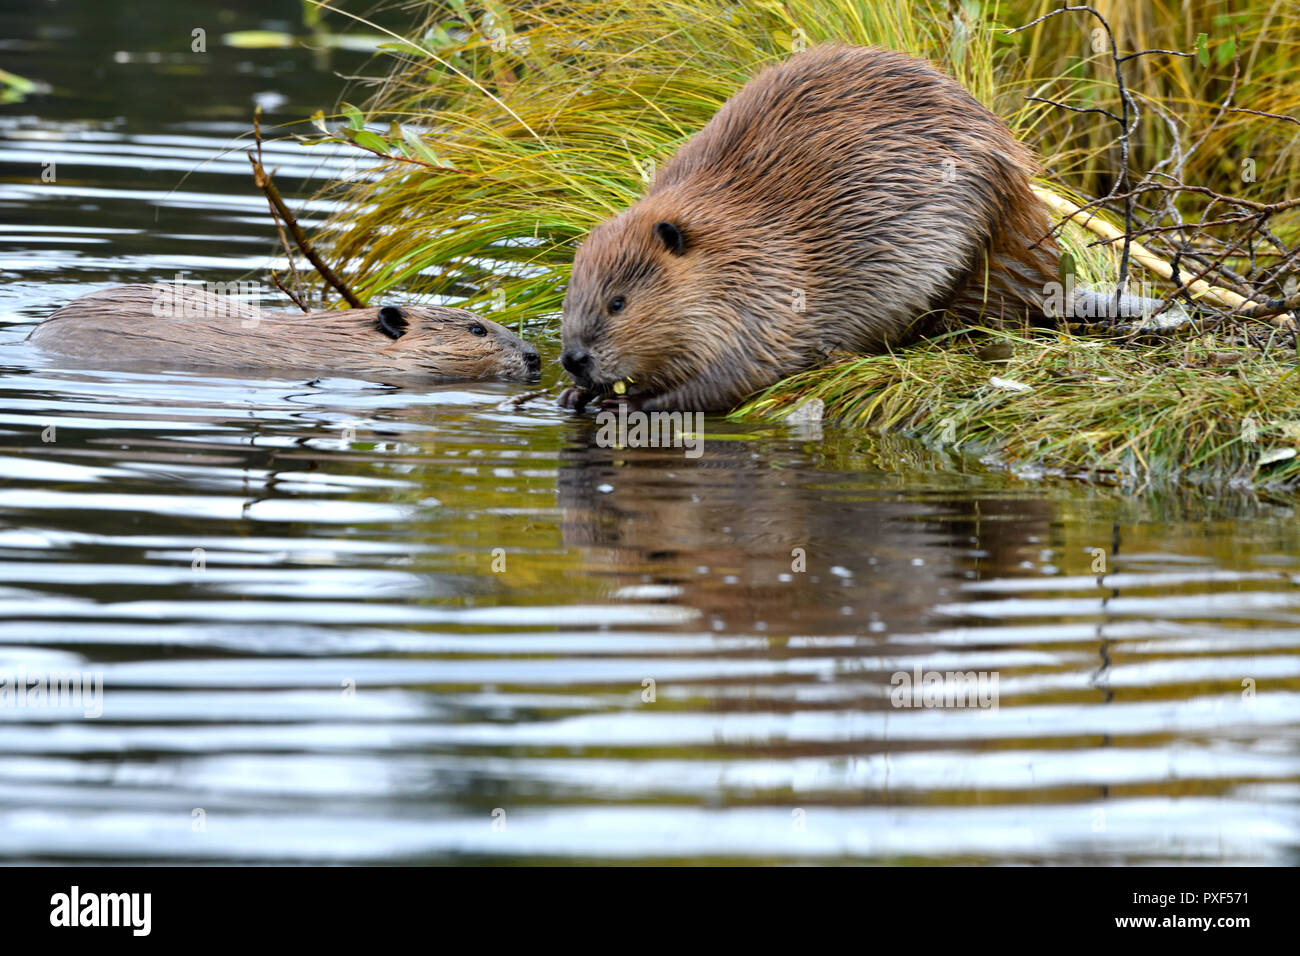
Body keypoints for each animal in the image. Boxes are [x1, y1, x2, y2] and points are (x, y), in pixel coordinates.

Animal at [559, 43, 1149, 411]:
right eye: (571, 296)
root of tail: (1053, 278)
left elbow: (735, 376)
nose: (572, 359)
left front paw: (626, 402)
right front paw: (575, 396)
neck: (734, 244)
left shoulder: (768, 299)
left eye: (617, 303)